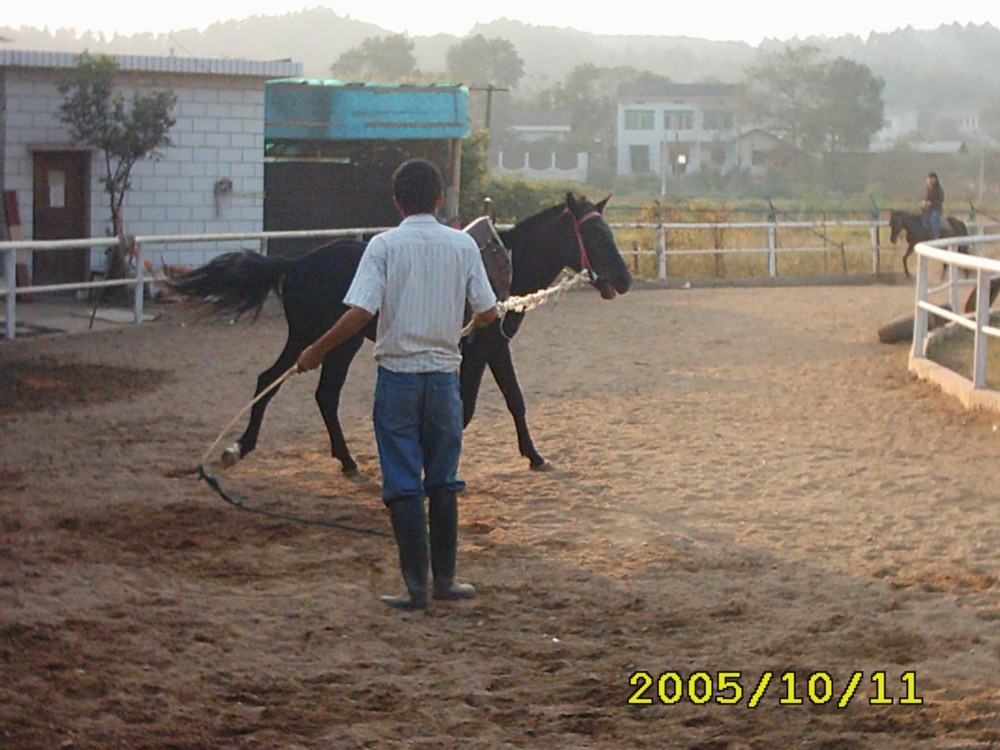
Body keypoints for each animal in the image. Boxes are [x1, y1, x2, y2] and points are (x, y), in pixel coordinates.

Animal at [167, 194, 628, 476]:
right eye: (594, 234)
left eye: (610, 232)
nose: (623, 280)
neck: (504, 265)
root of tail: (296, 262)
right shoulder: (481, 349)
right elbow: (471, 408)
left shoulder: (492, 347)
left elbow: (513, 400)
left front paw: (534, 456)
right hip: (313, 338)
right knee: (274, 381)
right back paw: (243, 446)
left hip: (340, 342)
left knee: (320, 394)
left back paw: (344, 460)